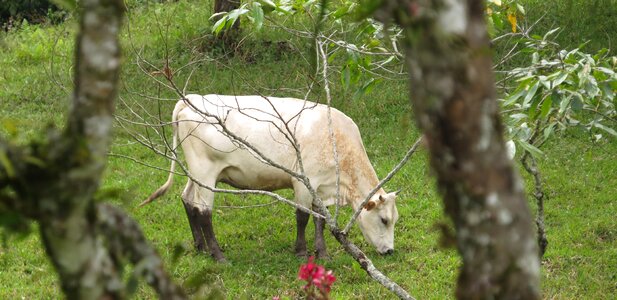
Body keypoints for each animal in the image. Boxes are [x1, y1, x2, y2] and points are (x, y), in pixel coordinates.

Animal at [144, 95, 402, 262]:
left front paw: (323, 254)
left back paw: (199, 247)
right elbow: (302, 217)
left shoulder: (320, 186)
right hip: (205, 172)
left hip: (196, 174)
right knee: (204, 211)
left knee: (188, 200)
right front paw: (301, 252)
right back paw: (218, 255)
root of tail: (189, 99)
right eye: (384, 220)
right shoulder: (303, 181)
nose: (390, 251)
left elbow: (319, 219)